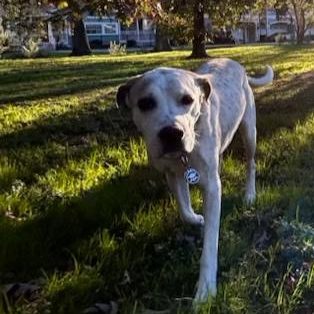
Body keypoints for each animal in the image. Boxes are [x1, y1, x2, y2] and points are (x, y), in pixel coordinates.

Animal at [115, 57, 272, 302]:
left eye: (187, 99)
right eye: (145, 103)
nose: (171, 133)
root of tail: (234, 62)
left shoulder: (211, 187)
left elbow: (210, 243)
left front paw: (205, 290)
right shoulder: (172, 173)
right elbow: (185, 209)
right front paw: (198, 219)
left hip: (249, 133)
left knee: (251, 164)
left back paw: (249, 194)